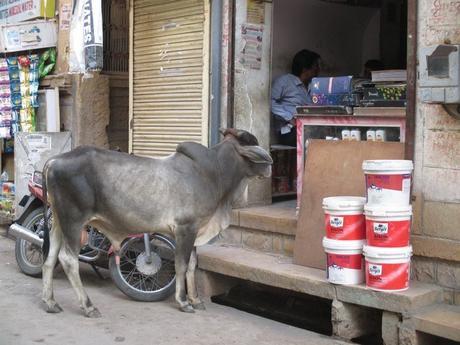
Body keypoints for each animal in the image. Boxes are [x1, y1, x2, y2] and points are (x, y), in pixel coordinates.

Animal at [40, 129, 274, 318]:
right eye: (251, 142)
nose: (270, 167)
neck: (214, 173)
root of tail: (54, 161)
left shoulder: (196, 230)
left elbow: (192, 265)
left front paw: (196, 299)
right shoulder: (185, 228)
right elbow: (181, 265)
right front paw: (183, 302)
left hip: (59, 222)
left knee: (50, 259)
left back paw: (50, 302)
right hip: (73, 220)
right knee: (68, 259)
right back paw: (88, 306)